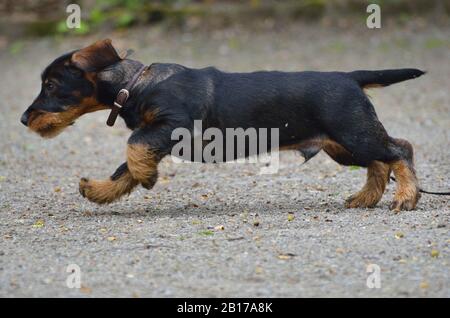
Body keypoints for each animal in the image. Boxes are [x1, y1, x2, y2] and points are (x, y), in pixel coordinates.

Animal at [20, 39, 426, 211]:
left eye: (51, 85)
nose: (24, 119)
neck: (134, 83)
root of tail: (350, 77)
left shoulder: (170, 126)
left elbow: (132, 148)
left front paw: (145, 177)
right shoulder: (158, 137)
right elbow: (124, 170)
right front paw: (99, 191)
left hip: (353, 134)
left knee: (400, 149)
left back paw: (406, 197)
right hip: (343, 144)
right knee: (380, 163)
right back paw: (365, 198)